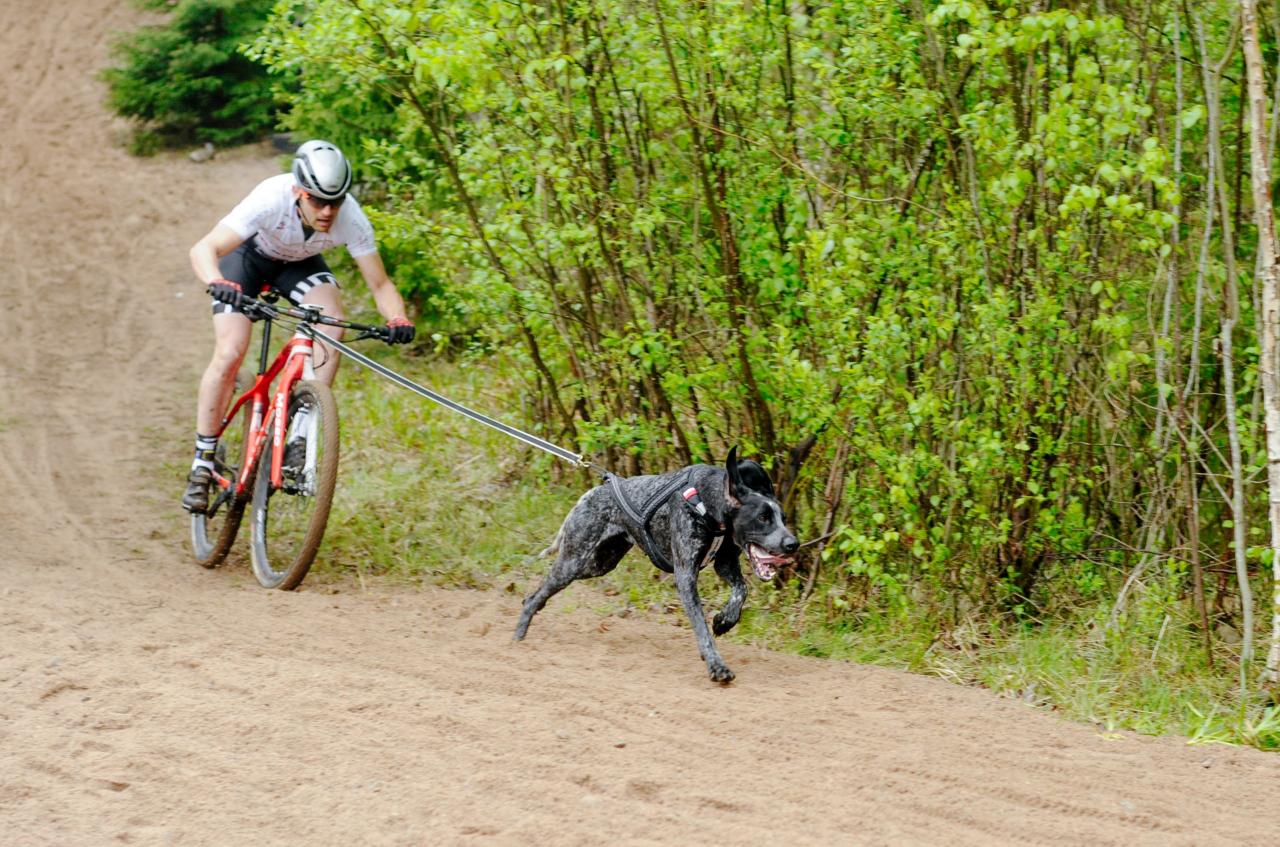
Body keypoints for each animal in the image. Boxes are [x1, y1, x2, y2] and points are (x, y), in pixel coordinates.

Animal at [512, 450, 793, 685]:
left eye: (783, 518)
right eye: (763, 518)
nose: (793, 543)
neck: (707, 503)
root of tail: (590, 494)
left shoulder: (724, 564)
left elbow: (740, 591)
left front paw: (724, 620)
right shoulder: (685, 576)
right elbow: (702, 630)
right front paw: (716, 666)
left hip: (597, 564)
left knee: (536, 594)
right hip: (573, 562)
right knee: (537, 594)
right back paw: (519, 635)